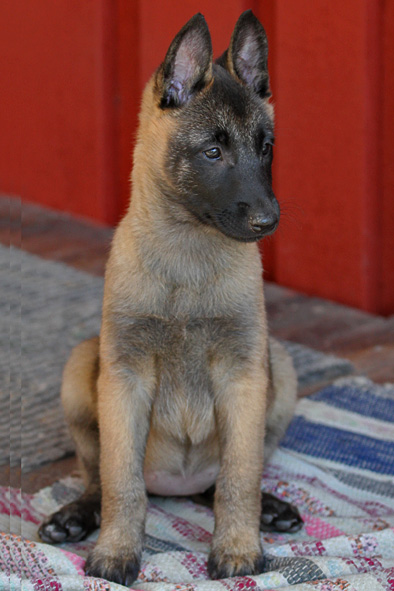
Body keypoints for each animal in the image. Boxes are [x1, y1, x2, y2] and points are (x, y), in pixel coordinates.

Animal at [39, 10, 302, 588]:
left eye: (266, 147)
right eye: (212, 152)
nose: (269, 221)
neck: (188, 254)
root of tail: (178, 485)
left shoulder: (244, 372)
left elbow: (239, 476)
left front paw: (238, 547)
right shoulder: (125, 375)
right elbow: (122, 483)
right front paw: (116, 551)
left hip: (281, 365)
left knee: (222, 480)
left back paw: (270, 509)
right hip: (81, 365)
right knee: (97, 477)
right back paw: (76, 517)